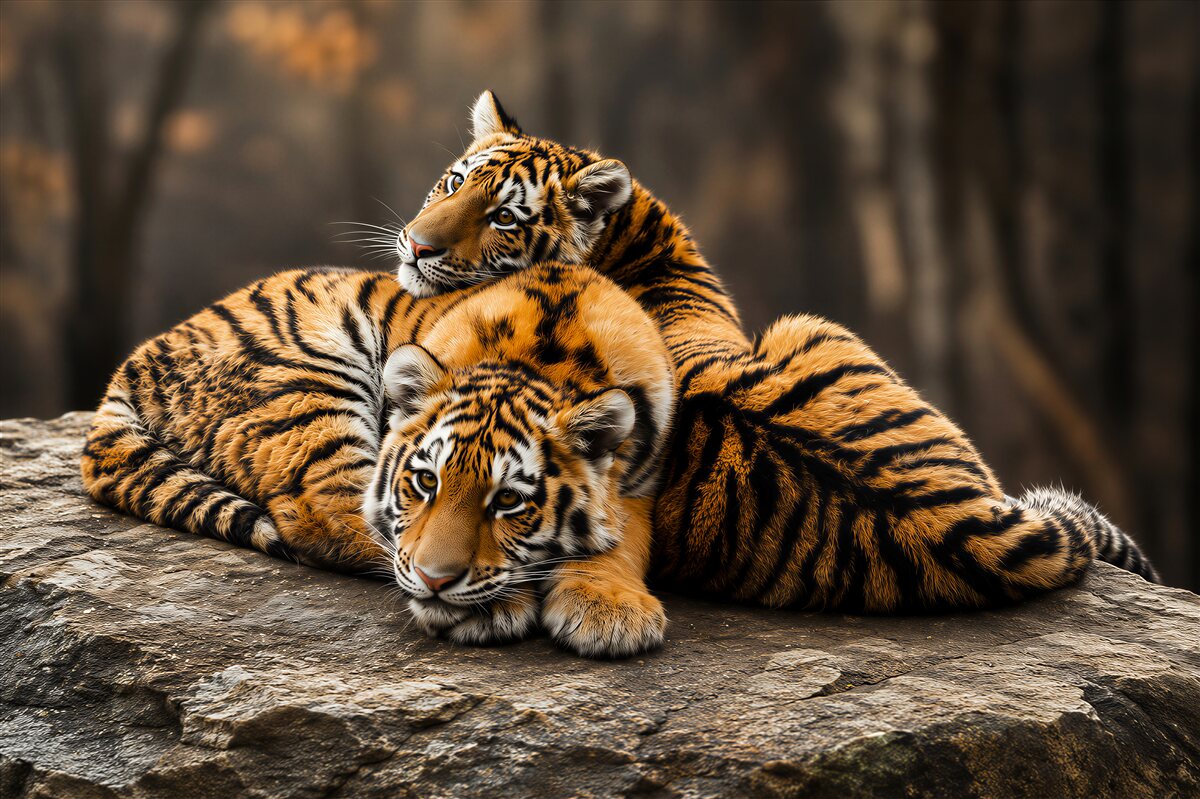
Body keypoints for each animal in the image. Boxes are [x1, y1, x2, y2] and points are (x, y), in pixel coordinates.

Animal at [81, 262, 675, 657]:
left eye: (508, 500)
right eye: (425, 482)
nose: (436, 582)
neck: (546, 361)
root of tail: (135, 360)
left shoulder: (645, 479)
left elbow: (622, 538)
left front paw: (609, 611)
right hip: (308, 386)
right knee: (329, 518)